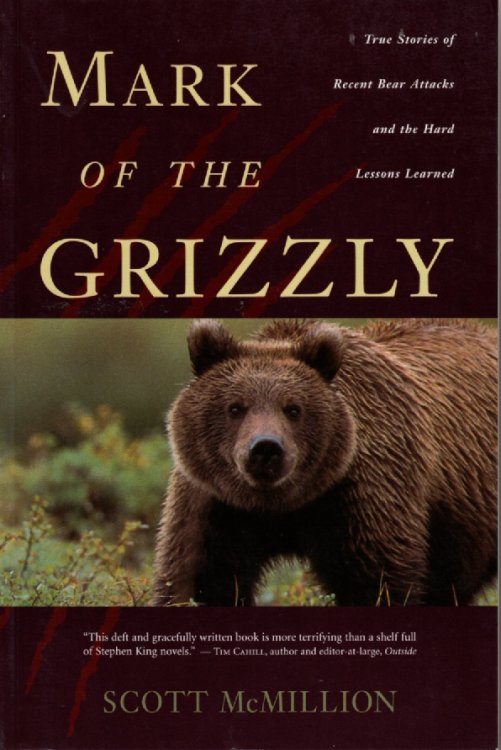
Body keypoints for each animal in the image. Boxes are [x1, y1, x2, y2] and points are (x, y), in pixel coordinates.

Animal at [151, 318, 497, 606]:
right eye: (235, 407)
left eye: (293, 409)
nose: (265, 448)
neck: (280, 505)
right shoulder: (214, 502)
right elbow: (201, 578)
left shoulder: (366, 492)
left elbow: (376, 581)